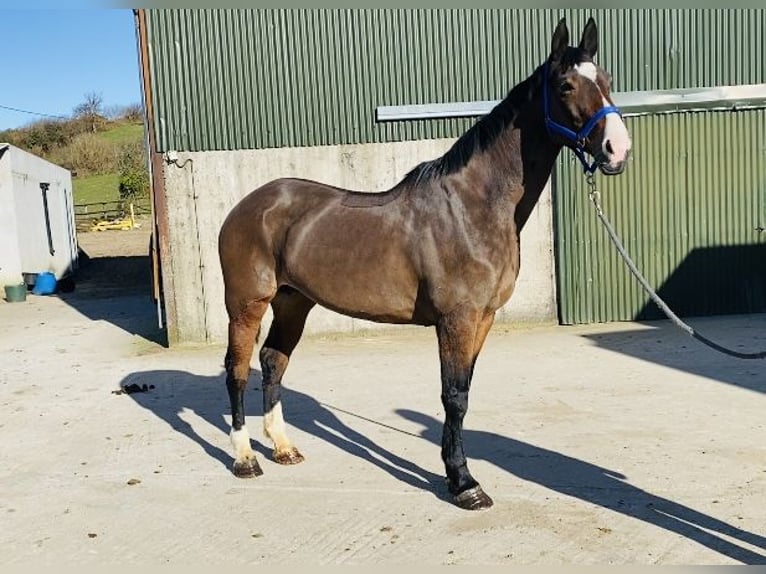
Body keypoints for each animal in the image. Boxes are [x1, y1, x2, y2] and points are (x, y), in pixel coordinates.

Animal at [218, 17, 631, 510]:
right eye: (566, 85)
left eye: (607, 80)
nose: (617, 148)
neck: (473, 207)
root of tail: (247, 205)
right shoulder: (457, 319)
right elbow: (453, 397)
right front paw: (465, 484)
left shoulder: (483, 319)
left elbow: (464, 392)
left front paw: (456, 475)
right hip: (247, 304)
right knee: (237, 369)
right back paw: (245, 458)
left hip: (293, 302)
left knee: (272, 361)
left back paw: (282, 448)